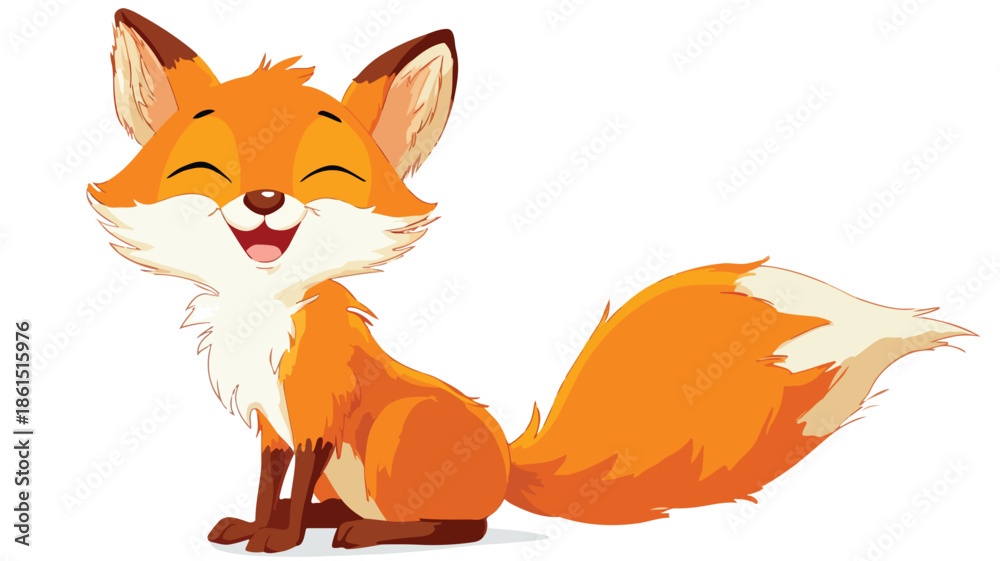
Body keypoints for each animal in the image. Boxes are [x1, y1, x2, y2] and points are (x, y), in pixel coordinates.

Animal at [89, 9, 974, 553]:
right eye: (207, 171)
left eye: (325, 176)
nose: (267, 202)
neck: (265, 316)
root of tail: (509, 460)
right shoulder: (273, 422)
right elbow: (273, 484)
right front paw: (258, 527)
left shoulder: (317, 414)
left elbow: (295, 486)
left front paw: (278, 539)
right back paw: (338, 520)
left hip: (397, 439)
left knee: (463, 526)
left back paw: (368, 532)